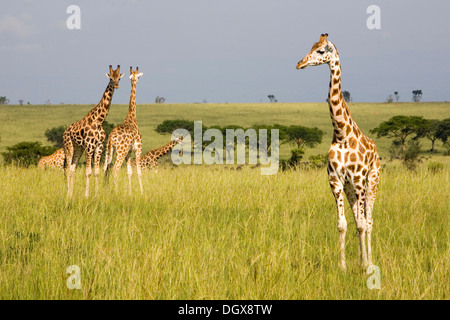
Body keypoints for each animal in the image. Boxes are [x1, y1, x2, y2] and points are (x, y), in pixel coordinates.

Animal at [63, 64, 123, 198]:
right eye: (111, 78)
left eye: (119, 78)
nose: (116, 85)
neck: (99, 120)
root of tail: (64, 132)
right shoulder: (89, 146)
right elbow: (88, 172)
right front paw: (86, 195)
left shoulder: (99, 146)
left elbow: (96, 172)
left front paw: (96, 194)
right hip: (69, 147)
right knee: (68, 168)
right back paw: (68, 194)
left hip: (78, 149)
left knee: (73, 168)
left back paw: (71, 193)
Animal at [103, 66, 142, 194]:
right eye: (138, 77)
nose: (136, 81)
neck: (132, 117)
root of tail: (111, 137)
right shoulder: (138, 148)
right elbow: (139, 171)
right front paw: (142, 192)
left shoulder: (129, 152)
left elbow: (129, 172)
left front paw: (130, 193)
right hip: (120, 152)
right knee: (115, 169)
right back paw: (115, 192)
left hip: (109, 150)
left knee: (105, 168)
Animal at [298, 34, 382, 270]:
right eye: (311, 47)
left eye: (320, 51)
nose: (300, 64)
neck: (341, 132)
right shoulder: (335, 181)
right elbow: (343, 224)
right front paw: (343, 266)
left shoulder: (359, 180)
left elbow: (362, 224)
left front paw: (365, 265)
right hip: (351, 189)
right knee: (357, 219)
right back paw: (362, 258)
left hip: (371, 182)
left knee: (368, 221)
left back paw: (369, 260)